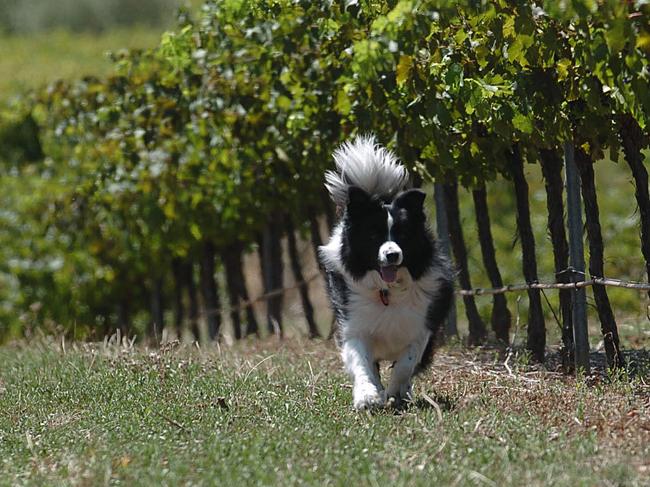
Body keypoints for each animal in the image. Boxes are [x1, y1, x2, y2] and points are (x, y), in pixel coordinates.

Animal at [318, 135, 450, 410]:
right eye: (373, 236)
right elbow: (361, 363)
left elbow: (406, 364)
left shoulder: (422, 326)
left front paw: (396, 392)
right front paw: (368, 396)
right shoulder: (354, 325)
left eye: (403, 235)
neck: (387, 291)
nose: (392, 255)